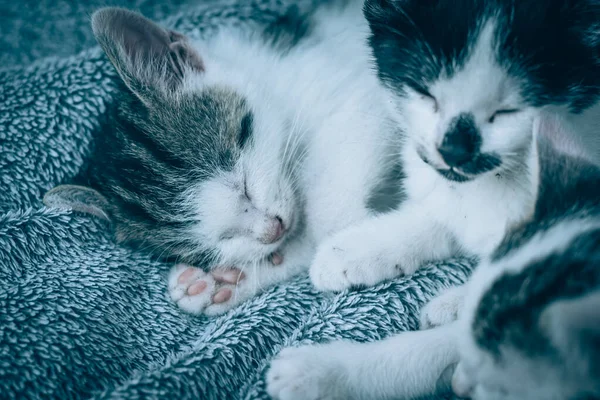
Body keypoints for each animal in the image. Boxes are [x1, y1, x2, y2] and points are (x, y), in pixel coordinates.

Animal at [43, 3, 398, 316]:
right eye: (220, 238)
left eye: (244, 184)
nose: (273, 231)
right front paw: (228, 279)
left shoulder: (359, 94)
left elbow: (329, 200)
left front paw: (353, 242)